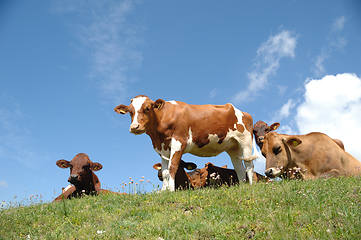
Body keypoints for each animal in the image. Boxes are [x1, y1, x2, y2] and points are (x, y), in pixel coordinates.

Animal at [114, 95, 258, 191]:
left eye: (147, 108)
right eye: (130, 111)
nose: (134, 127)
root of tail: (243, 112)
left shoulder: (178, 142)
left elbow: (172, 167)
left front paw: (171, 190)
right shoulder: (162, 147)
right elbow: (165, 171)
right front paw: (163, 191)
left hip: (245, 141)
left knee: (249, 165)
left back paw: (251, 185)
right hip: (232, 146)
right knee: (239, 168)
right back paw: (243, 186)